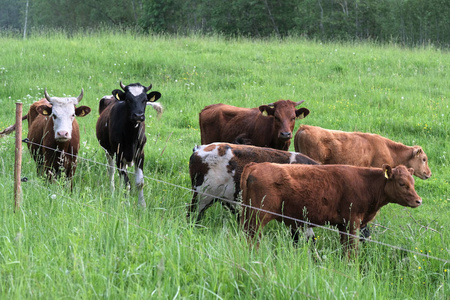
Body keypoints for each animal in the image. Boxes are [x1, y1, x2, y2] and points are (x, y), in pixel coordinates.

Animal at [241, 163, 424, 256]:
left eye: (413, 182)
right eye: (402, 183)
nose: (419, 200)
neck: (366, 184)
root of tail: (256, 165)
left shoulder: (343, 224)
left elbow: (345, 248)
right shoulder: (353, 222)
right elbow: (352, 249)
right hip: (258, 217)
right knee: (253, 240)